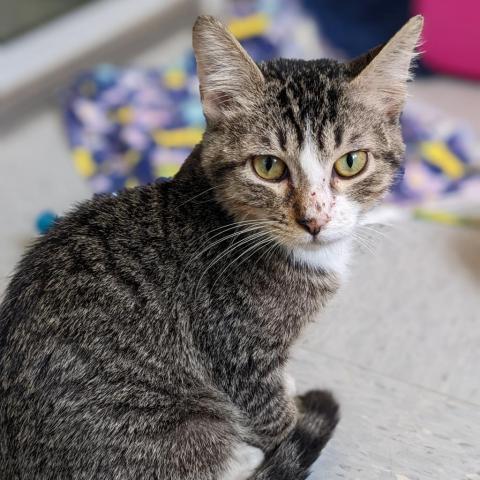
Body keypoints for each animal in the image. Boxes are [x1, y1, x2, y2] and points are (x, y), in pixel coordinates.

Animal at [0, 14, 420, 480]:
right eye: (268, 166)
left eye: (350, 162)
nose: (314, 220)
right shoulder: (236, 350)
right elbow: (273, 416)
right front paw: (289, 425)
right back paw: (241, 456)